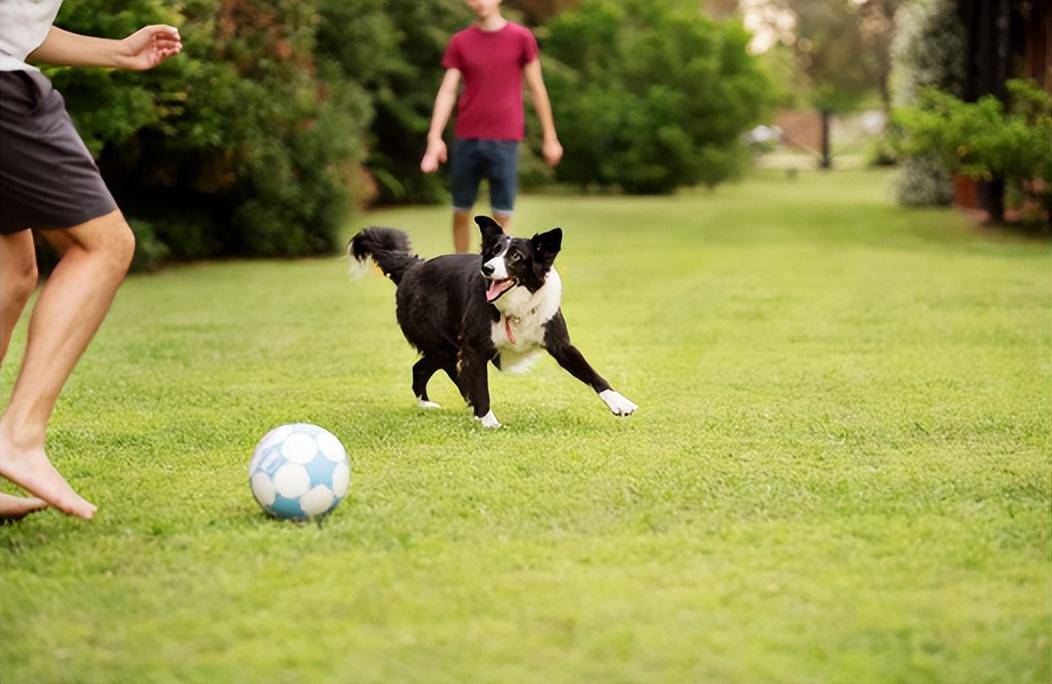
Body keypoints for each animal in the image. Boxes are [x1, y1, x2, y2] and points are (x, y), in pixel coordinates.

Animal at [349, 214, 635, 425]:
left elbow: (591, 373)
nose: (487, 268)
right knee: (440, 371)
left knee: (421, 368)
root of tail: (411, 267)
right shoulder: (474, 349)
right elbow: (481, 387)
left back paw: (430, 403)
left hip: (445, 349)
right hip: (444, 345)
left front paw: (621, 403)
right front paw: (488, 421)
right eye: (494, 252)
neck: (515, 306)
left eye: (516, 256)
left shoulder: (560, 344)